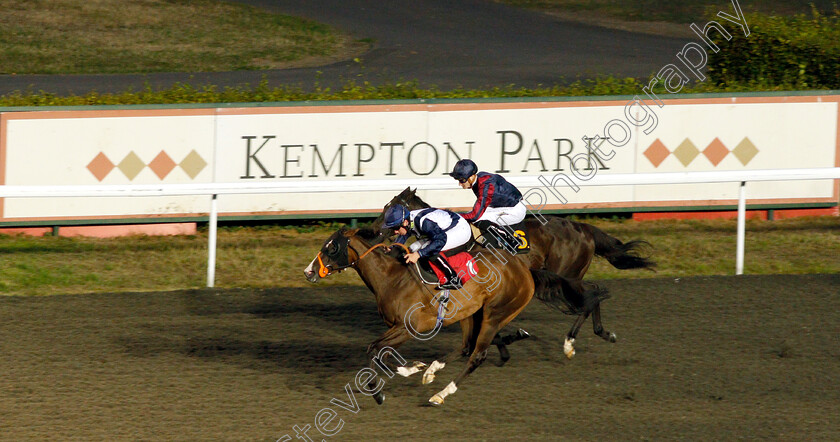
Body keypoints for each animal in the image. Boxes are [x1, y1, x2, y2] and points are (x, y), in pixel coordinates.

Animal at [306, 228, 608, 404]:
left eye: (332, 248)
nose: (309, 272)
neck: (392, 278)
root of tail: (526, 271)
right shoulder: (396, 327)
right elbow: (379, 351)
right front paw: (416, 368)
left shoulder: (408, 328)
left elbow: (375, 350)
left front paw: (380, 391)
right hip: (471, 313)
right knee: (466, 346)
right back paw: (432, 370)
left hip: (495, 313)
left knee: (477, 354)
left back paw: (441, 393)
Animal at [372, 188, 656, 358]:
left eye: (389, 206)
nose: (374, 230)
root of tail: (584, 229)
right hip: (569, 276)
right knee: (592, 294)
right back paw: (598, 334)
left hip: (569, 275)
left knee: (591, 295)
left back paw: (571, 343)